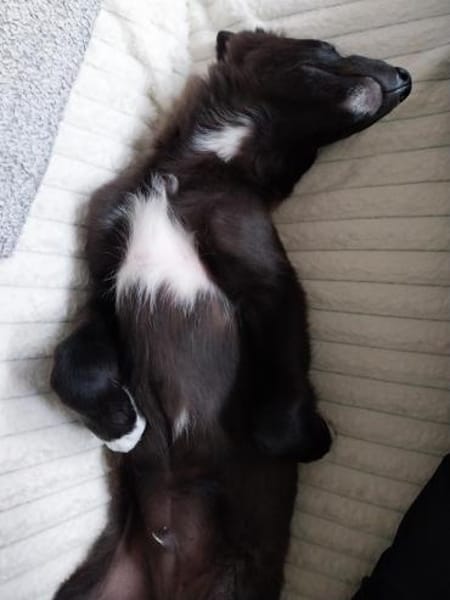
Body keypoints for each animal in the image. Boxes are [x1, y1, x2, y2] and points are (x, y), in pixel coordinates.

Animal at [50, 30, 411, 600]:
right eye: (326, 47)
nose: (406, 77)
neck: (194, 171)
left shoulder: (270, 285)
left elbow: (276, 419)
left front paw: (315, 439)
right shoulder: (105, 285)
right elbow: (72, 364)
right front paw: (120, 425)